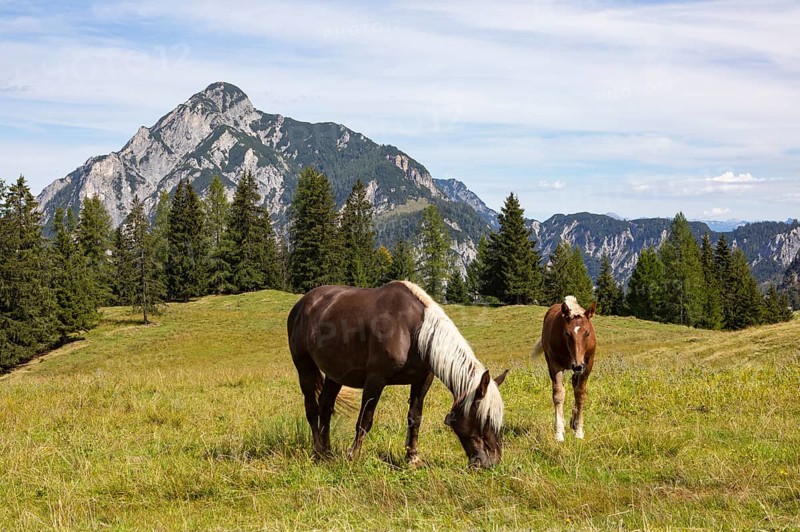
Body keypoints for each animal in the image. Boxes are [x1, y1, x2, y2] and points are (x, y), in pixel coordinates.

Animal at [286, 280, 507, 468]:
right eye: (485, 419)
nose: (491, 463)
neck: (411, 330)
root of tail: (302, 303)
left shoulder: (422, 380)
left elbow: (415, 418)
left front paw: (412, 458)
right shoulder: (375, 380)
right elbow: (364, 421)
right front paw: (354, 456)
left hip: (335, 375)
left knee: (325, 407)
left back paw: (327, 453)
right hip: (304, 368)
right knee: (312, 409)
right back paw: (317, 451)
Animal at [532, 296, 597, 441]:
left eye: (587, 333)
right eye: (567, 333)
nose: (577, 365)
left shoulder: (588, 364)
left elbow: (580, 394)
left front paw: (579, 431)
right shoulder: (555, 364)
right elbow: (558, 394)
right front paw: (559, 433)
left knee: (574, 383)